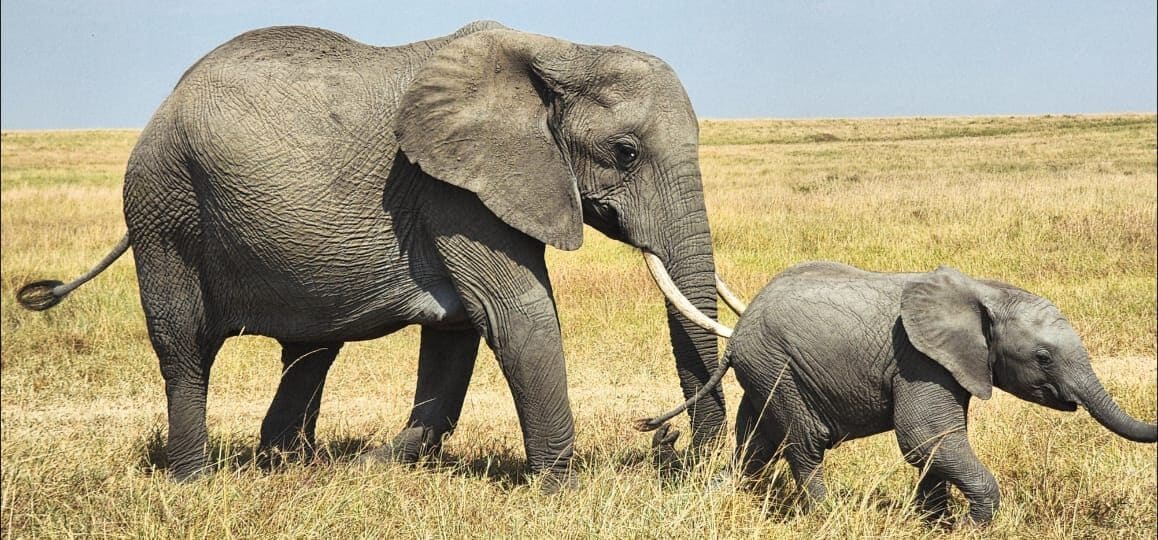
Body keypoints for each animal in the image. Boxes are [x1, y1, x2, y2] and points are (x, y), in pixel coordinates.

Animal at [17, 20, 739, 487]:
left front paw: (381, 465)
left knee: (310, 348)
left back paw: (289, 466)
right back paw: (194, 483)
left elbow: (458, 330)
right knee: (185, 347)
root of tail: (164, 105)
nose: (669, 445)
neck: (561, 51)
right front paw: (560, 491)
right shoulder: (451, 186)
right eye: (625, 151)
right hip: (163, 206)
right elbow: (516, 312)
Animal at [639, 261, 1157, 525]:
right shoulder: (916, 357)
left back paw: (720, 495)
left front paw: (934, 525)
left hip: (765, 371)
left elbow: (937, 443)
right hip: (777, 366)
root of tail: (739, 333)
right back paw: (828, 519)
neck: (984, 290)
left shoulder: (949, 364)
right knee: (804, 443)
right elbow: (924, 437)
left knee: (756, 444)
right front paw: (971, 527)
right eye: (1044, 357)